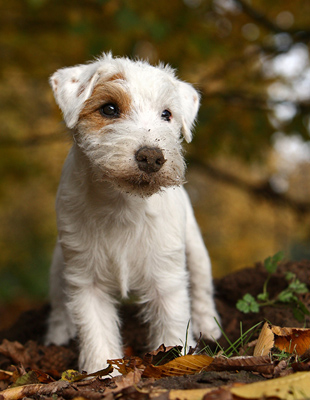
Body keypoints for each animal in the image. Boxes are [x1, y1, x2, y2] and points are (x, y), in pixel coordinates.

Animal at [45, 52, 220, 372]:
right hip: (59, 262)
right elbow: (96, 330)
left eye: (167, 114)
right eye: (109, 109)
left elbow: (172, 323)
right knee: (58, 300)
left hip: (195, 248)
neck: (121, 203)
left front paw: (175, 362)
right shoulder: (87, 279)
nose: (152, 157)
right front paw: (101, 372)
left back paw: (209, 326)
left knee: (202, 286)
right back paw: (59, 332)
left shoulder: (166, 275)